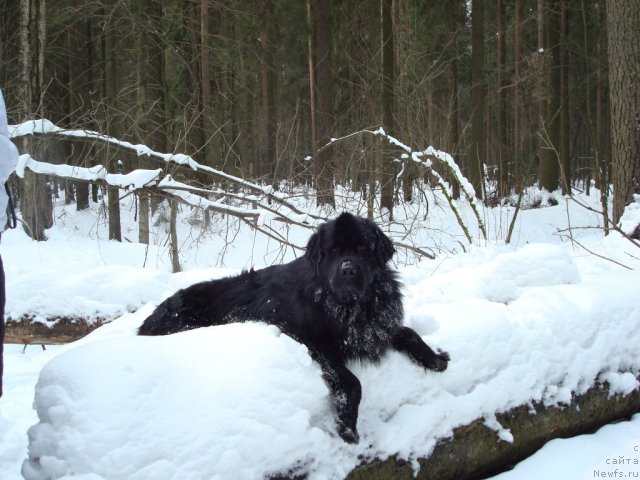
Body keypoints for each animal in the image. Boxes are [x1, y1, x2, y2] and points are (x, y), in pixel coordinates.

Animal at [139, 212, 450, 444]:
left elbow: (409, 333)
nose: (348, 269)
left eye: (363, 249)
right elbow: (352, 382)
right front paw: (347, 426)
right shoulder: (312, 341)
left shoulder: (376, 327)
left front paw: (436, 358)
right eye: (334, 251)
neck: (349, 308)